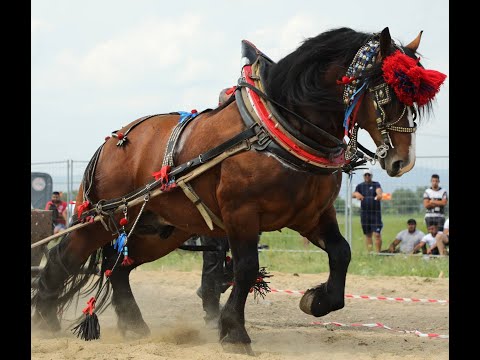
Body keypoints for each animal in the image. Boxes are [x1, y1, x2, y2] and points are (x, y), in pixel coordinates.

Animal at [31, 26, 448, 356]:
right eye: (386, 93)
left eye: (413, 98)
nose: (402, 162)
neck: (276, 127)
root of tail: (112, 141)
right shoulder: (241, 215)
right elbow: (246, 268)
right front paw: (234, 331)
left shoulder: (312, 216)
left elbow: (341, 253)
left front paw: (316, 301)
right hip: (104, 217)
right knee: (63, 258)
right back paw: (46, 320)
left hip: (159, 229)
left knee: (119, 269)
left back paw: (134, 327)